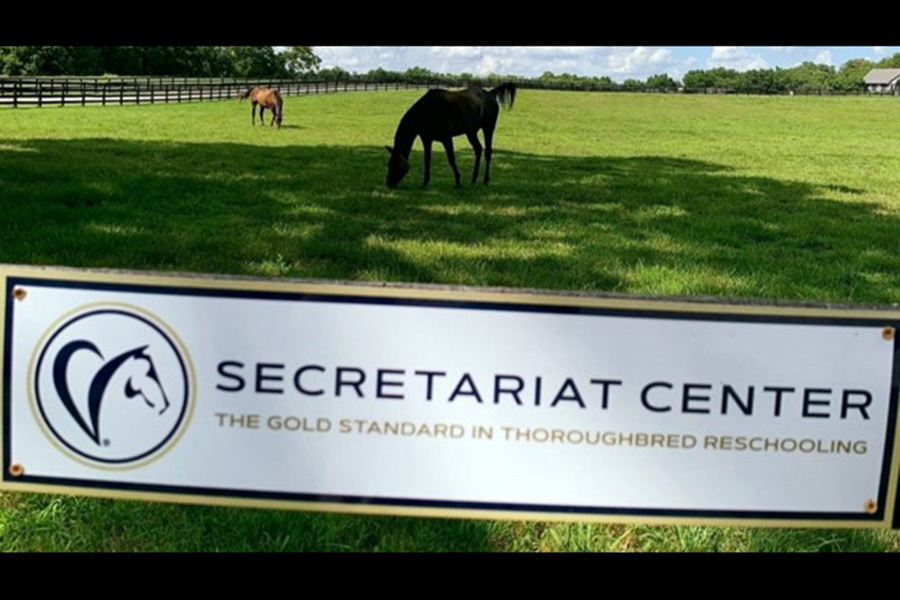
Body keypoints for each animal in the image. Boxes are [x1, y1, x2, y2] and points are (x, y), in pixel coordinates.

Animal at [384, 81, 516, 186]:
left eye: (394, 165)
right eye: (389, 164)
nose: (389, 183)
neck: (427, 111)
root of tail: (490, 93)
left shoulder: (446, 138)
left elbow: (451, 158)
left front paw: (457, 180)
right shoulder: (427, 139)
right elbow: (427, 159)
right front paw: (425, 182)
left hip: (488, 128)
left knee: (488, 152)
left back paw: (485, 180)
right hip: (471, 132)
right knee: (478, 149)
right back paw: (473, 178)